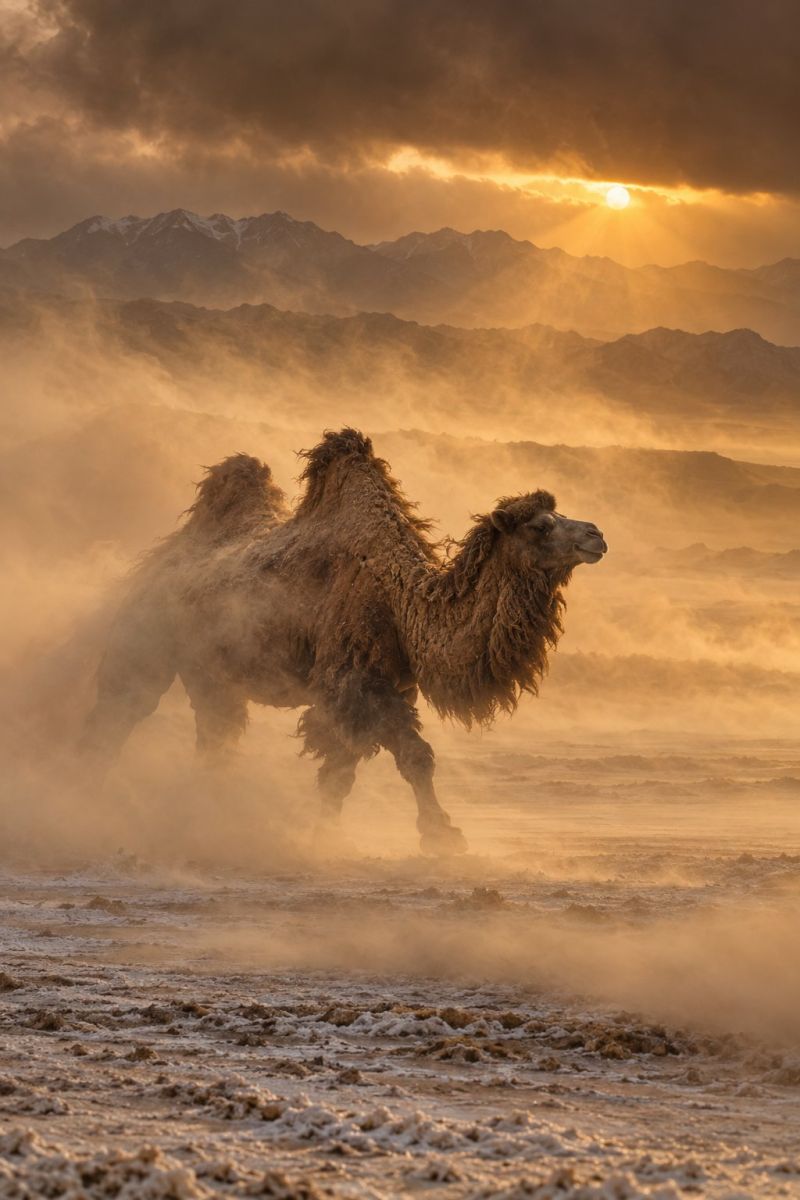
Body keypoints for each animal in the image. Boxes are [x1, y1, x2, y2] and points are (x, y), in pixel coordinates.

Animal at [81, 429, 607, 853]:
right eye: (540, 525)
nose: (597, 534)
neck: (401, 602)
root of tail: (158, 559)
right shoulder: (351, 680)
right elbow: (412, 757)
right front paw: (441, 836)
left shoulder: (386, 685)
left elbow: (344, 770)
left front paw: (327, 833)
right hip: (147, 641)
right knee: (116, 714)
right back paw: (85, 806)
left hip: (212, 672)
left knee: (215, 736)